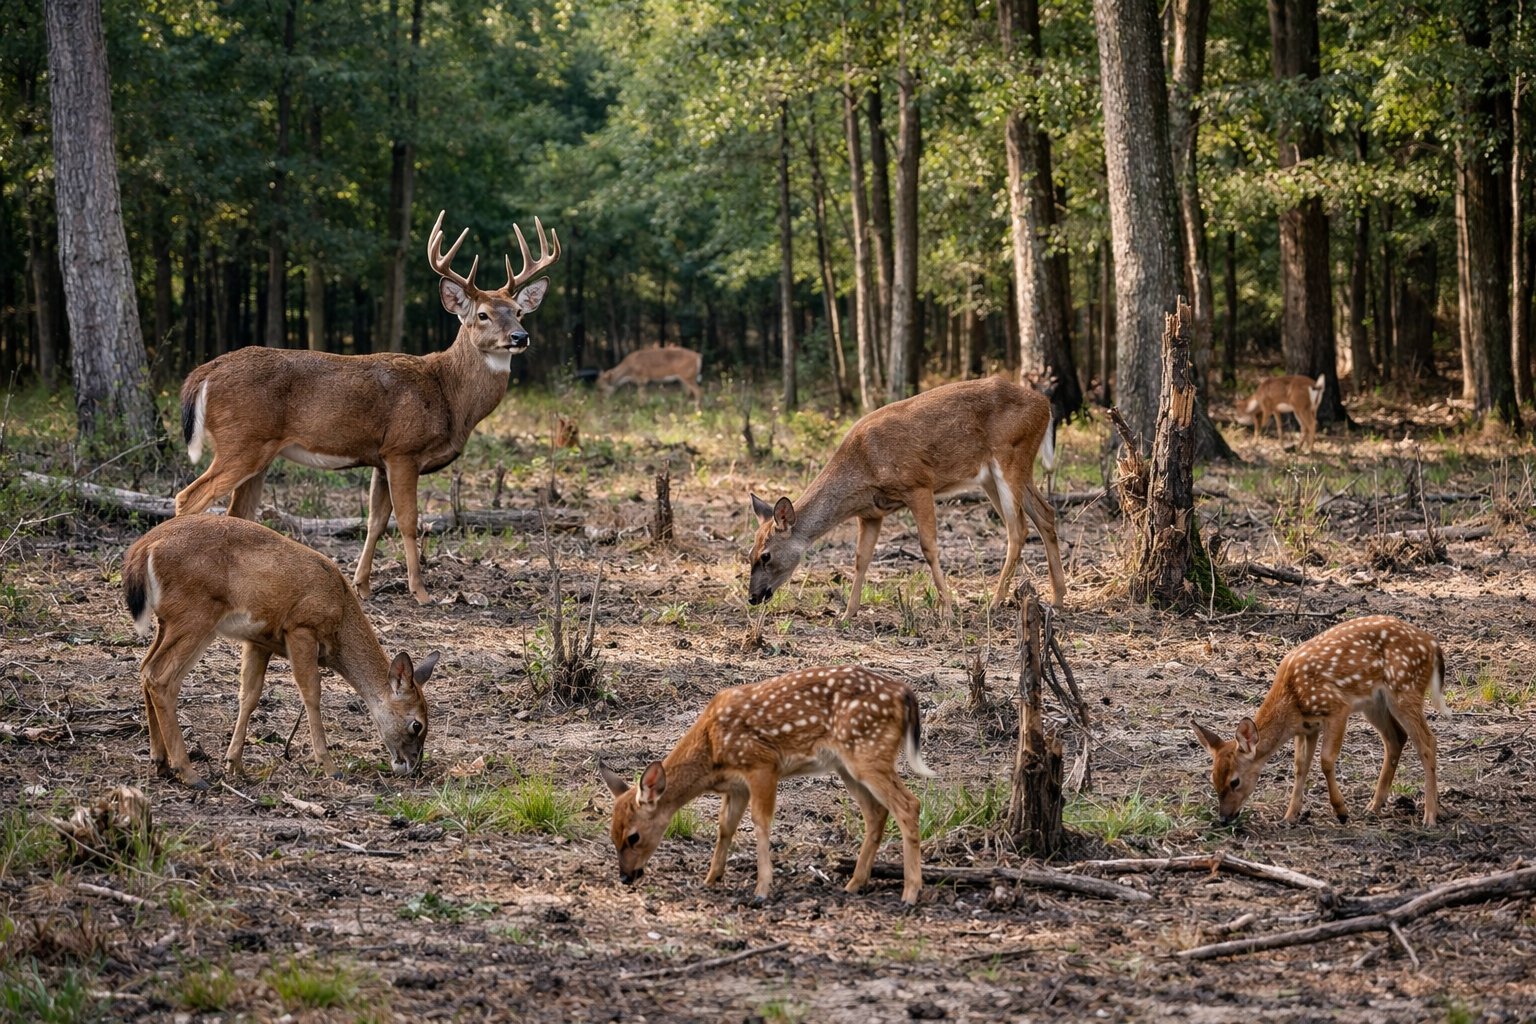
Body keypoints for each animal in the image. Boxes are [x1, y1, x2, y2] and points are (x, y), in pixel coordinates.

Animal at [123, 515, 438, 789]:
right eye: (416, 725)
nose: (412, 766)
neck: (341, 616)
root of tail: (143, 548)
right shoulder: (301, 628)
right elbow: (311, 693)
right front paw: (329, 766)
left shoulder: (259, 641)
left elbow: (249, 696)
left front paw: (234, 763)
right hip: (196, 614)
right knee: (161, 677)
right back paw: (189, 773)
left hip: (169, 621)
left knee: (145, 669)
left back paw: (161, 762)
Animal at [173, 210, 560, 604]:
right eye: (482, 315)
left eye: (518, 311)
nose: (520, 337)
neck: (448, 394)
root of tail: (205, 371)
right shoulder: (404, 449)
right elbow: (408, 520)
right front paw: (420, 591)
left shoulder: (381, 457)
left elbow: (376, 520)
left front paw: (361, 584)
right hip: (241, 440)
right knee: (188, 498)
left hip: (260, 451)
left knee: (238, 512)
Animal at [599, 666, 933, 905]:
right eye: (611, 834)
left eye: (633, 836)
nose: (625, 877)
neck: (712, 751)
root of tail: (906, 694)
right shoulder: (736, 786)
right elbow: (725, 827)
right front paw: (711, 878)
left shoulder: (761, 765)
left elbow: (761, 823)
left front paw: (761, 890)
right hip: (848, 765)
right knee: (876, 813)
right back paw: (853, 884)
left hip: (869, 752)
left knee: (909, 804)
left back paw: (910, 894)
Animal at [748, 375, 1066, 622]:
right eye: (749, 554)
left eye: (766, 555)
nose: (752, 597)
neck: (862, 468)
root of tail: (1045, 405)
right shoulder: (871, 513)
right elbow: (861, 559)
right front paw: (847, 614)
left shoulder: (918, 484)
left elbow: (928, 547)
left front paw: (948, 610)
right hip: (998, 474)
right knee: (1046, 514)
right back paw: (1058, 598)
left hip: (1010, 456)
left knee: (1019, 528)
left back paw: (995, 602)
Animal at [1193, 615, 1446, 828]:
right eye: (1213, 779)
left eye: (1234, 781)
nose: (1224, 818)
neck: (1292, 700)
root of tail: (1434, 645)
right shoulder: (1307, 728)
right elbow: (1300, 766)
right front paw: (1289, 816)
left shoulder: (1337, 708)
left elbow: (1325, 760)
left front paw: (1341, 811)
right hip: (1375, 704)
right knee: (1396, 739)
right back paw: (1374, 806)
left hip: (1405, 689)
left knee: (1428, 742)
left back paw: (1430, 816)